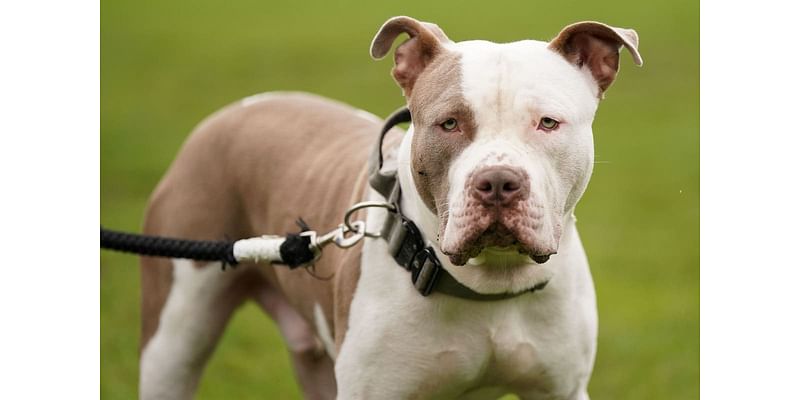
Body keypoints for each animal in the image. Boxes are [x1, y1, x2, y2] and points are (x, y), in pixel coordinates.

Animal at [136, 15, 636, 400]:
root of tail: (235, 110)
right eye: (449, 123)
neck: (489, 284)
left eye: (548, 122)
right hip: (172, 341)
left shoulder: (561, 388)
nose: (497, 183)